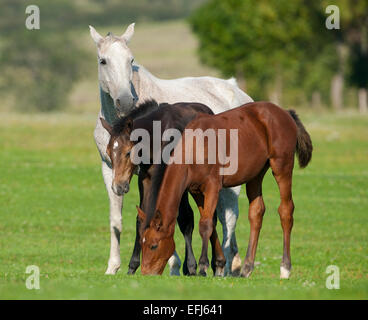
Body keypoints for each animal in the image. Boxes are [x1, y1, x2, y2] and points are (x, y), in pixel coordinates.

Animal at [90, 23, 253, 276]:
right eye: (103, 61)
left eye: (131, 59)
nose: (125, 100)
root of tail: (236, 89)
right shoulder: (111, 170)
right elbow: (118, 220)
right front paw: (113, 267)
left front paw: (175, 265)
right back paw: (232, 265)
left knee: (228, 217)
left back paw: (224, 266)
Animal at [139, 102, 312, 278]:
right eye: (141, 243)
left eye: (154, 245)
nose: (145, 272)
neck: (195, 146)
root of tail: (285, 113)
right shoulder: (196, 191)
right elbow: (210, 222)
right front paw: (219, 264)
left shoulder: (213, 186)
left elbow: (206, 224)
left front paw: (203, 266)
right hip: (255, 175)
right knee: (256, 212)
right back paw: (247, 267)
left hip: (282, 167)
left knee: (286, 210)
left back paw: (285, 268)